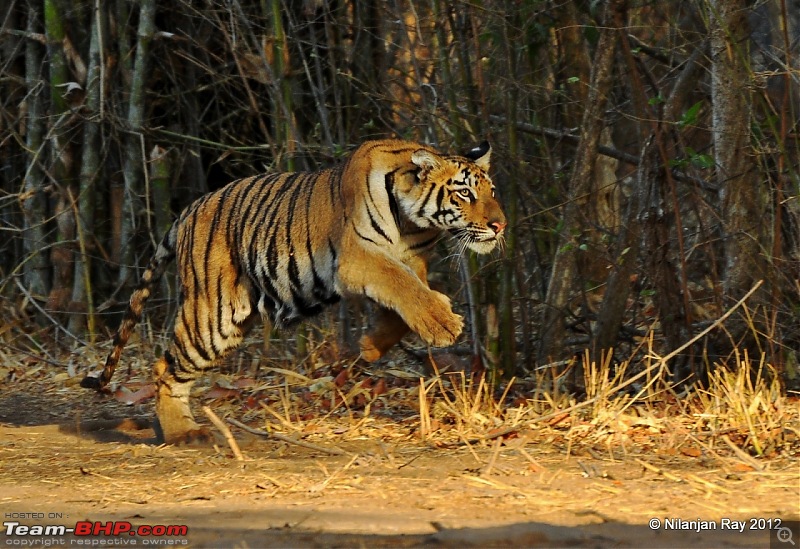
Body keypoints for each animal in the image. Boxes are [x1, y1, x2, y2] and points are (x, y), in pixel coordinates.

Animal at [81, 139, 506, 444]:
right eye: (465, 194)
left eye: (492, 191)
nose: (500, 225)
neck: (413, 224)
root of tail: (189, 209)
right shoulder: (358, 257)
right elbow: (405, 289)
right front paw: (444, 324)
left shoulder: (409, 263)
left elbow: (404, 305)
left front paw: (371, 346)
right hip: (212, 315)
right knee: (165, 365)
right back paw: (182, 434)